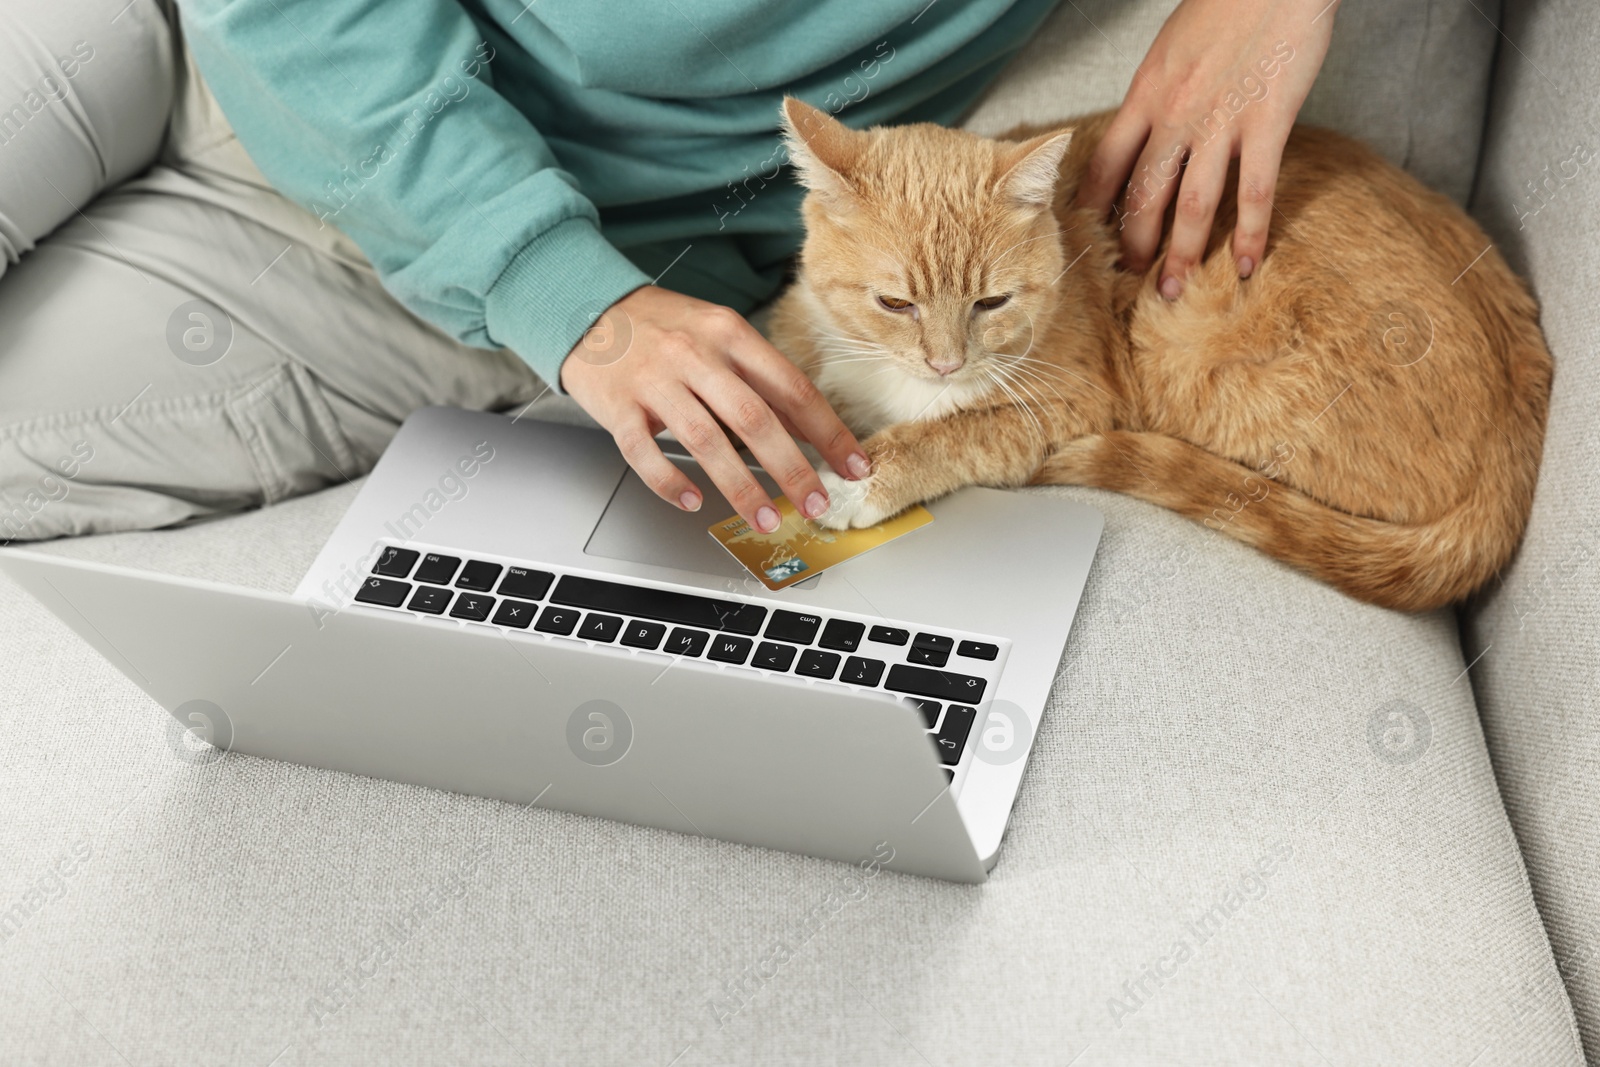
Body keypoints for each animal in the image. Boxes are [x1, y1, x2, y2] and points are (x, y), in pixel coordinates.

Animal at [768, 95, 1555, 614]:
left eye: (990, 303)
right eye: (894, 304)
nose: (946, 364)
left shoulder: (1071, 403)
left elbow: (951, 433)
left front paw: (861, 478)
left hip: (1175, 343)